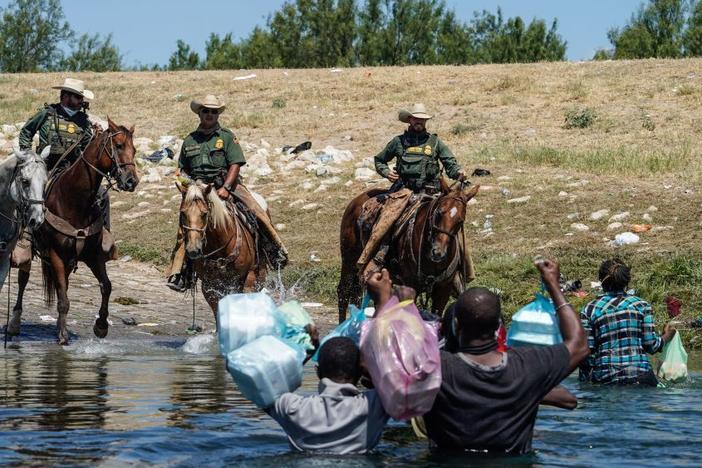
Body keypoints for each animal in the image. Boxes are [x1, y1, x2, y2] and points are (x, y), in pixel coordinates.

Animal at [8, 117, 139, 344]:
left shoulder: (93, 255)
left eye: (135, 150)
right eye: (119, 145)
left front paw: (101, 326)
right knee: (23, 279)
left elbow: (106, 286)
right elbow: (63, 298)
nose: (132, 181)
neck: (75, 201)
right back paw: (15, 322)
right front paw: (63, 335)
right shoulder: (56, 254)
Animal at [338, 183, 482, 322]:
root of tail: (355, 202)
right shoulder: (410, 286)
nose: (437, 252)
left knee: (357, 296)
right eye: (439, 213)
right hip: (349, 260)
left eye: (460, 221)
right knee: (344, 292)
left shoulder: (443, 290)